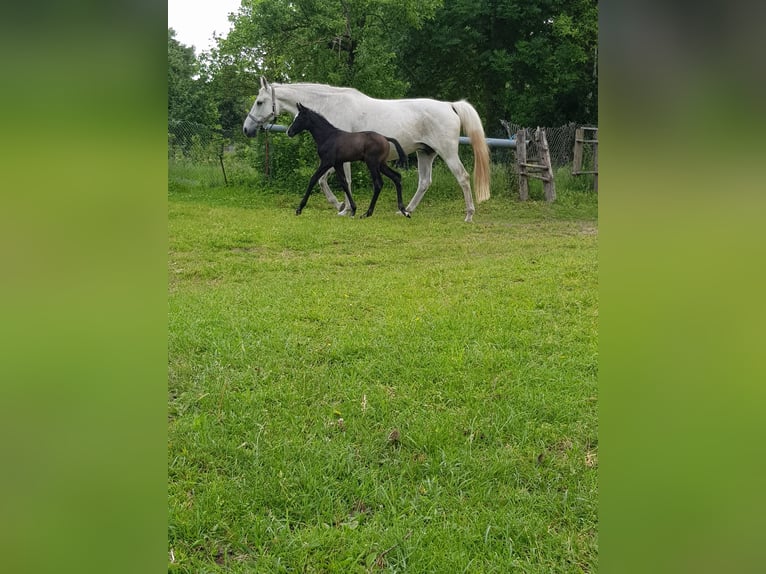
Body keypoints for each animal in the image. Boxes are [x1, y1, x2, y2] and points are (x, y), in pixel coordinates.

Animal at [243, 78, 490, 222]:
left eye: (259, 102)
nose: (247, 129)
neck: (329, 108)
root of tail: (450, 106)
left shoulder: (340, 159)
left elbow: (341, 181)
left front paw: (344, 208)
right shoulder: (336, 160)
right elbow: (323, 180)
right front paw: (341, 205)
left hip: (447, 153)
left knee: (463, 177)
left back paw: (469, 214)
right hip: (425, 153)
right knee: (424, 182)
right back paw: (406, 210)